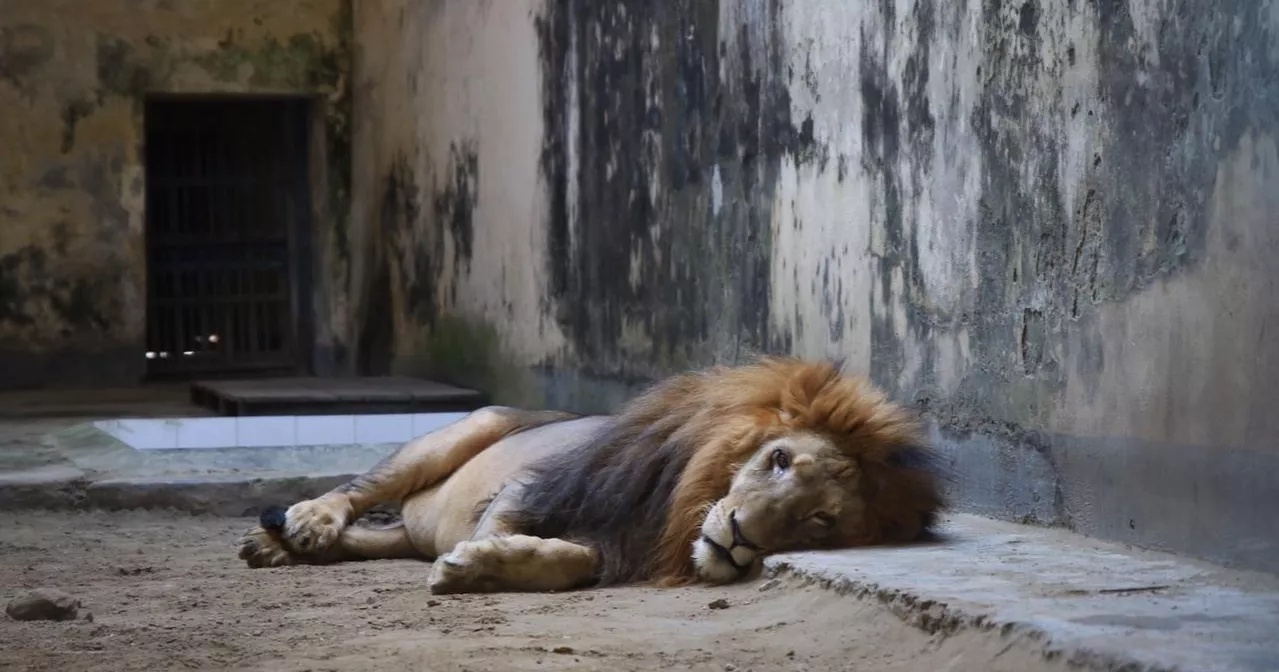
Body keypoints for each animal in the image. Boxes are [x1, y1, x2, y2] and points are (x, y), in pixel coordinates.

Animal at [238, 356, 946, 594]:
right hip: (470, 428)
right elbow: (506, 528)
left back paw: (276, 547)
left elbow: (576, 558)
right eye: (777, 459)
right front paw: (475, 565)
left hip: (411, 527)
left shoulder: (622, 544)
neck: (677, 512)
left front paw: (491, 566)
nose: (742, 535)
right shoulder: (535, 485)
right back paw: (306, 522)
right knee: (358, 492)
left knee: (379, 538)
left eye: (821, 518)